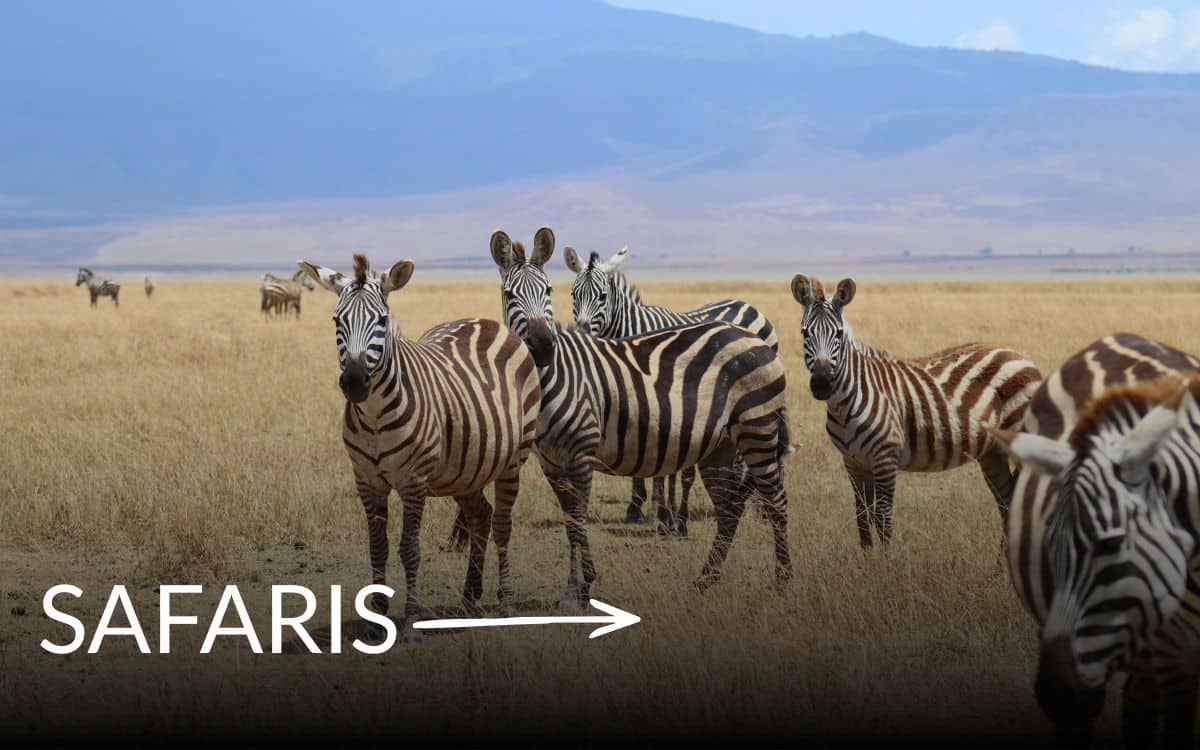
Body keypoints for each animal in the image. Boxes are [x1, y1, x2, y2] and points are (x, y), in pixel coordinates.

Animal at [298, 254, 541, 645]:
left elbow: (409, 550)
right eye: (337, 321)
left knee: (503, 525)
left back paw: (507, 604)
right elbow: (378, 547)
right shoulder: (366, 480)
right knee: (481, 516)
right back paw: (468, 599)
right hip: (465, 468)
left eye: (382, 320)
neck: (374, 415)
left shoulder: (413, 481)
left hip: (512, 460)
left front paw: (411, 624)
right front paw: (375, 621)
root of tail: (489, 322)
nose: (354, 382)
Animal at [564, 244, 781, 536]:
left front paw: (665, 515)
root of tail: (746, 303)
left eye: (602, 296)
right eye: (574, 294)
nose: (583, 331)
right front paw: (639, 507)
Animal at [791, 273, 1042, 548]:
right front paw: (867, 559)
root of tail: (1020, 356)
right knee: (1007, 505)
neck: (845, 405)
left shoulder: (885, 458)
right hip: (992, 452)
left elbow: (883, 520)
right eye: (804, 333)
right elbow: (862, 519)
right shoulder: (854, 461)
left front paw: (887, 560)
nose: (822, 383)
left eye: (838, 334)